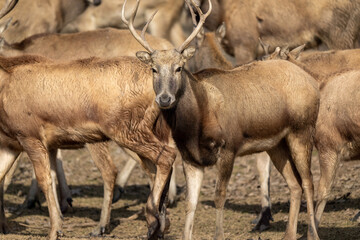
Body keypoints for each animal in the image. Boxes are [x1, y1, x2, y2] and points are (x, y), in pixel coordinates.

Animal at [123, 0, 320, 240]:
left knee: (309, 181)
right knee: (295, 184)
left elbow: (219, 196)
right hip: (276, 144)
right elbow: (191, 203)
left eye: (179, 67)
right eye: (153, 69)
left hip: (303, 130)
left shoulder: (229, 147)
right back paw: (289, 234)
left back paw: (313, 233)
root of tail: (312, 81)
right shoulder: (190, 157)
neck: (197, 124)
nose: (164, 98)